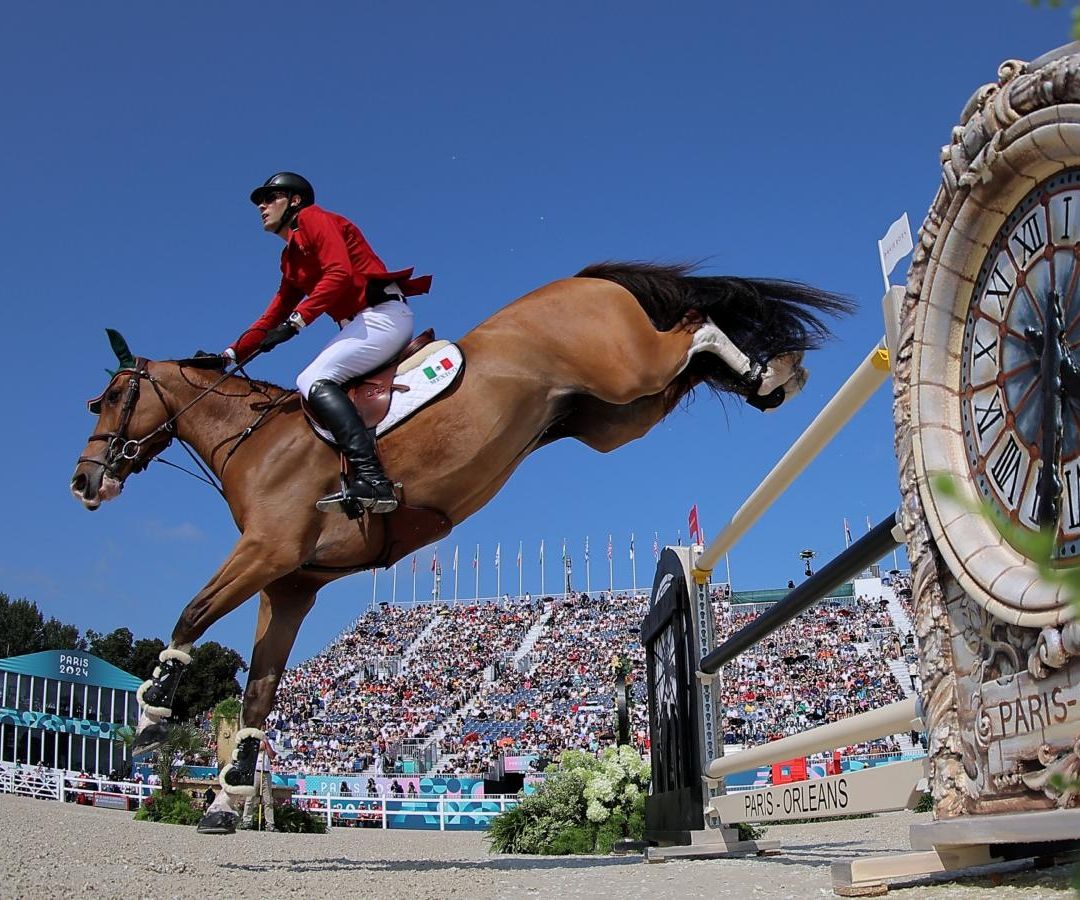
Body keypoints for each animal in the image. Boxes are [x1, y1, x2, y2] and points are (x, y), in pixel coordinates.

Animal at [69, 261, 849, 832]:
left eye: (107, 401)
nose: (84, 482)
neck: (257, 443)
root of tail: (582, 278)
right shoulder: (290, 584)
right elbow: (259, 690)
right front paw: (228, 798)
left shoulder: (266, 553)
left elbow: (190, 616)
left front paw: (152, 711)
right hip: (616, 415)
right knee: (689, 359)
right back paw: (768, 376)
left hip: (627, 371)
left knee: (694, 327)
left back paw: (769, 371)